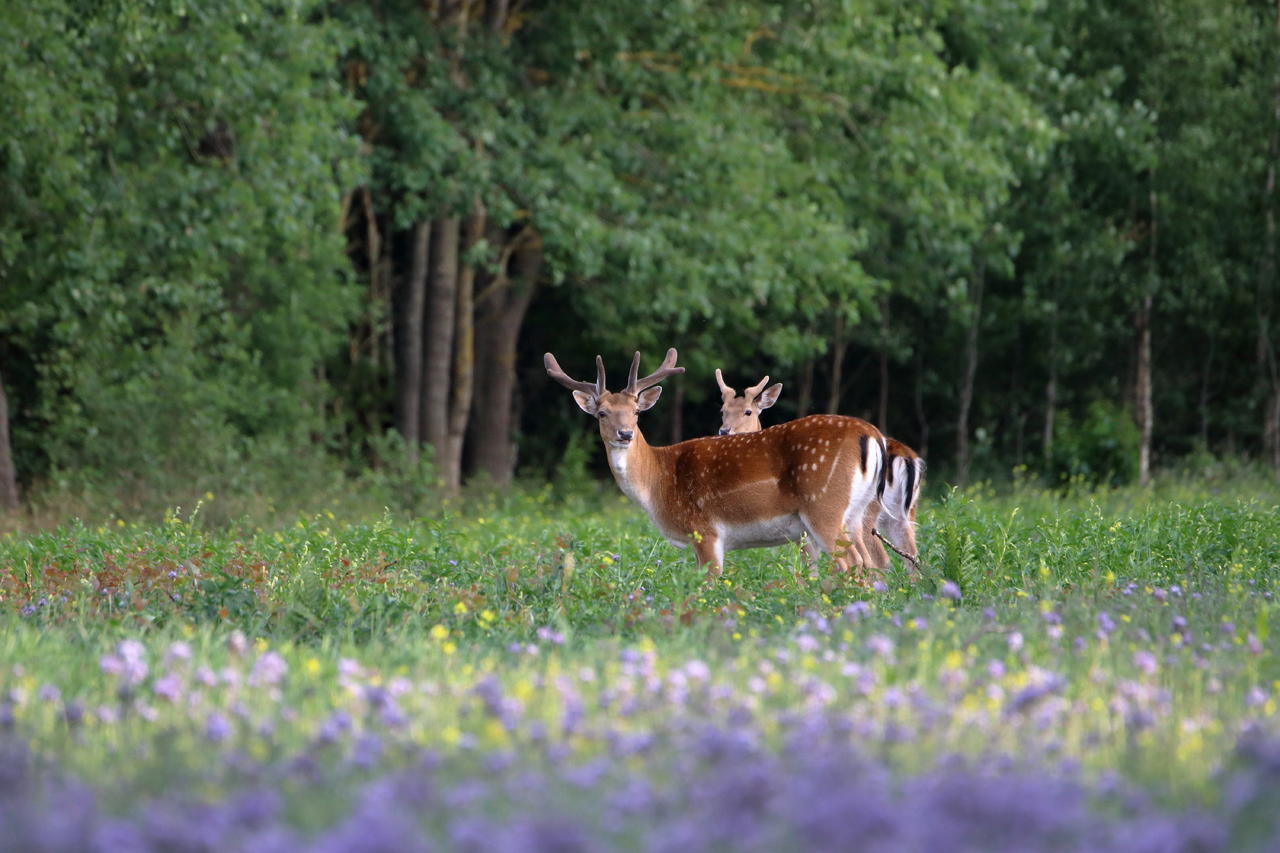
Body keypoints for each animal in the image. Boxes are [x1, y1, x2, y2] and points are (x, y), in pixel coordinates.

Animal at [547, 345, 890, 578]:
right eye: (602, 413)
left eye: (636, 412)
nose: (625, 433)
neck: (658, 482)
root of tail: (870, 433)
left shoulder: (705, 530)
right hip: (857, 513)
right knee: (872, 561)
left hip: (824, 507)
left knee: (854, 562)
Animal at [716, 366, 926, 571]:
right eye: (723, 410)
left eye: (748, 411)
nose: (724, 430)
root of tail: (907, 458)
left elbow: (809, 565)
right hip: (902, 514)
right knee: (909, 556)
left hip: (859, 513)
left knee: (877, 559)